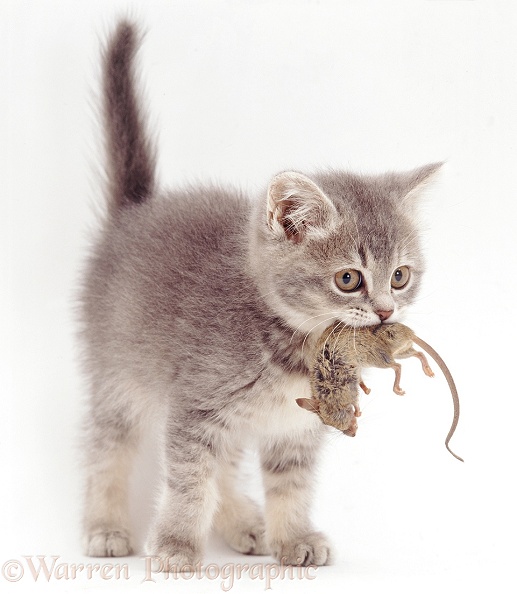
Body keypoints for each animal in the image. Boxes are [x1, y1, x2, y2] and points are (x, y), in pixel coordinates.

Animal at [79, 22, 440, 568]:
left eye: (400, 276)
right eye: (349, 279)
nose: (384, 310)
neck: (295, 348)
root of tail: (136, 213)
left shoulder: (295, 427)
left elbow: (291, 485)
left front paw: (293, 538)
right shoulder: (197, 406)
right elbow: (190, 483)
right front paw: (177, 546)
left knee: (226, 465)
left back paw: (245, 524)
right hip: (119, 376)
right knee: (107, 450)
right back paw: (106, 527)